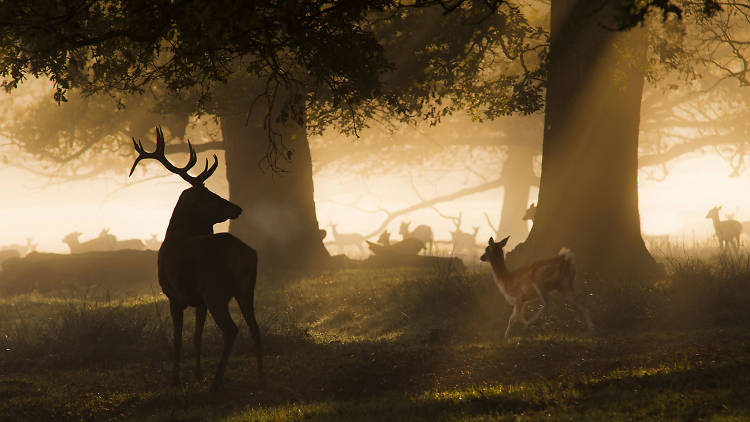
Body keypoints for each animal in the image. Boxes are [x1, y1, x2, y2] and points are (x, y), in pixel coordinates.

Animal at [131, 128, 266, 392]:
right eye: (211, 197)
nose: (237, 208)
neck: (176, 234)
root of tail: (245, 255)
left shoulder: (174, 295)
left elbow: (178, 338)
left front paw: (175, 379)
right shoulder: (199, 301)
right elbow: (196, 337)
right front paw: (197, 374)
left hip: (215, 289)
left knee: (232, 329)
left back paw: (217, 382)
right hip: (246, 288)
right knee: (255, 328)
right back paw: (260, 378)